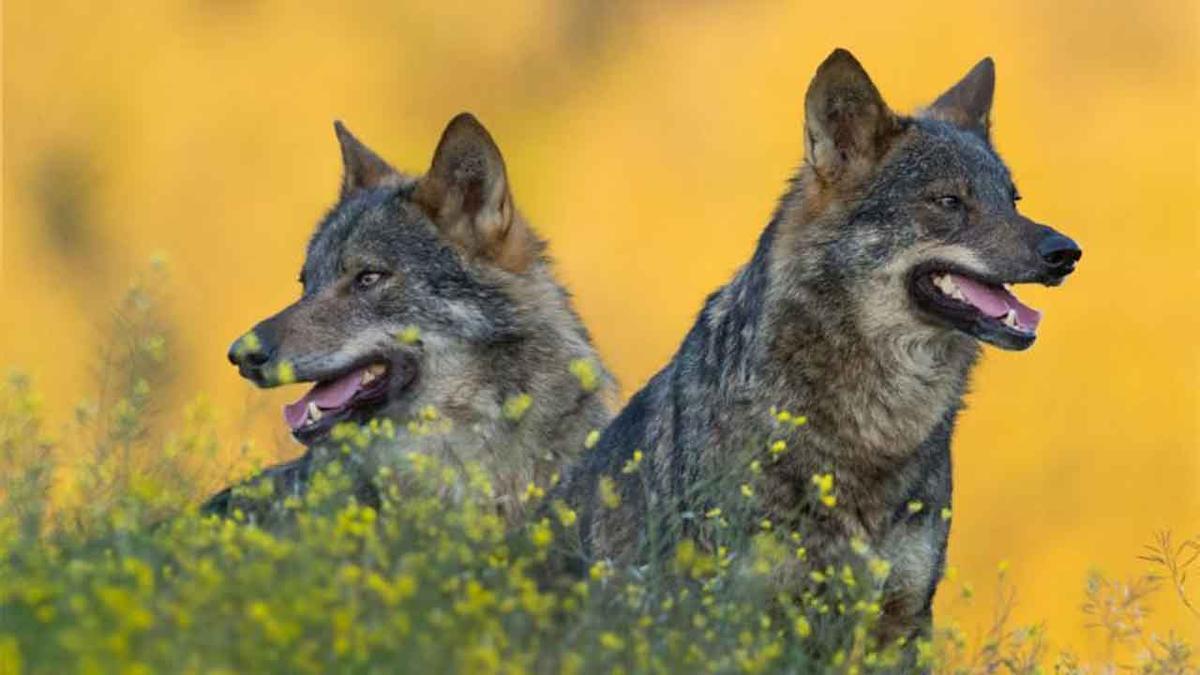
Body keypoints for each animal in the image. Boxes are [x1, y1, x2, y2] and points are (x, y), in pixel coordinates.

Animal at [556, 51, 1084, 638]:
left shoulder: (901, 616)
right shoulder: (743, 616)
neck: (876, 427)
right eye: (949, 200)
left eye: (1013, 201)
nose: (1066, 253)